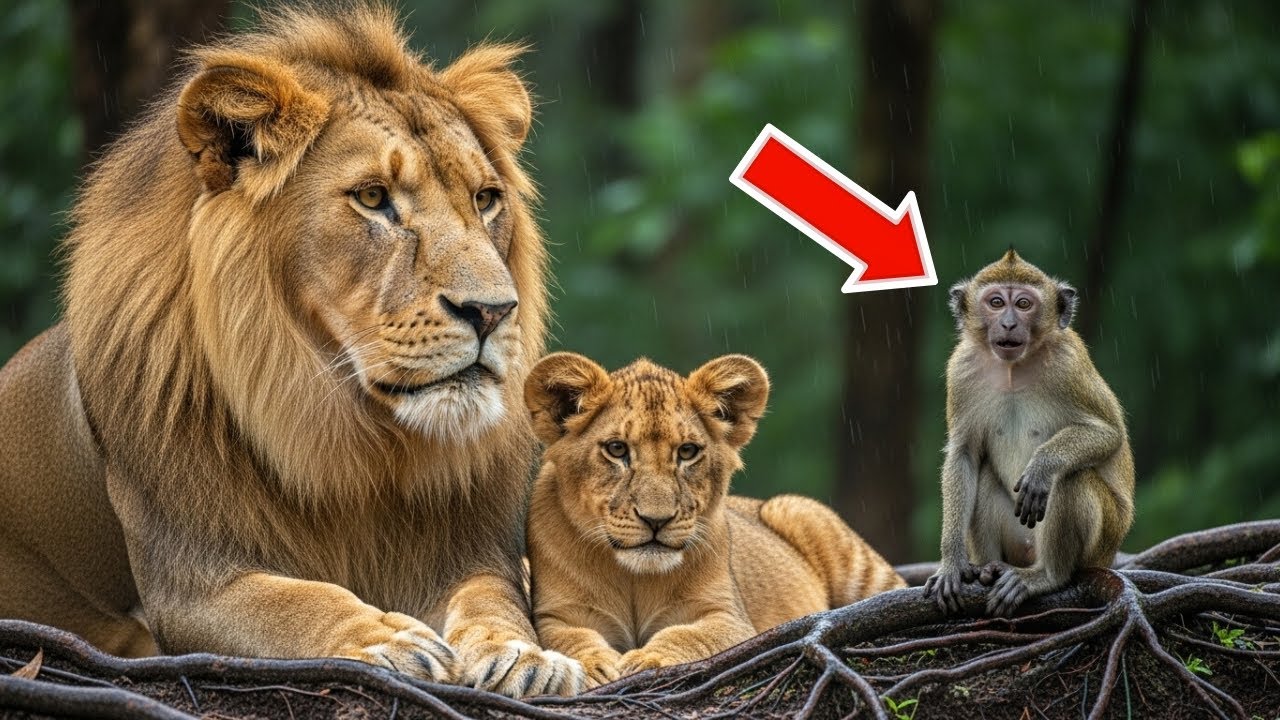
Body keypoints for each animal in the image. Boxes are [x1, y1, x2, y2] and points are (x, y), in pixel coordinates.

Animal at [0, 4, 584, 697]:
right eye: (372, 197)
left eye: (485, 199)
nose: (493, 312)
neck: (353, 432)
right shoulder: (191, 581)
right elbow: (296, 599)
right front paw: (384, 638)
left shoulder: (473, 552)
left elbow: (494, 599)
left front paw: (525, 655)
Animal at [523, 352, 906, 686]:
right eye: (617, 449)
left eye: (687, 451)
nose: (656, 520)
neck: (634, 578)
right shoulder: (555, 614)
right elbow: (570, 638)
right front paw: (597, 666)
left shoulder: (729, 618)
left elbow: (686, 635)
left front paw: (647, 659)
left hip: (805, 516)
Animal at [922, 249, 1134, 617]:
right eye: (995, 302)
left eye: (1023, 304)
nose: (1008, 323)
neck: (1013, 370)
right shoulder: (961, 369)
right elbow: (964, 455)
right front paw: (951, 564)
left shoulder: (1069, 364)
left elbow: (1109, 434)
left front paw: (1042, 465)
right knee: (985, 474)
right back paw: (989, 568)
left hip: (1101, 544)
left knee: (1070, 479)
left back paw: (1046, 575)